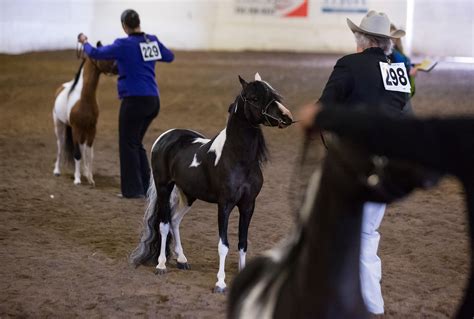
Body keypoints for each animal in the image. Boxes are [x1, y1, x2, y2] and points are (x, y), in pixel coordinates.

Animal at [52, 43, 116, 188]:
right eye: (105, 54)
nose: (118, 68)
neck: (83, 98)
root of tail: (61, 87)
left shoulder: (92, 129)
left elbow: (89, 154)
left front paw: (90, 178)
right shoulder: (76, 128)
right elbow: (76, 154)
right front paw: (77, 179)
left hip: (81, 131)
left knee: (81, 148)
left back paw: (83, 171)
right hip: (60, 125)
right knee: (60, 145)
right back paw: (57, 170)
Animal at [130, 74, 292, 294]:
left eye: (274, 94)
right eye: (254, 98)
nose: (287, 117)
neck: (237, 158)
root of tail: (165, 137)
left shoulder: (248, 205)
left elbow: (243, 242)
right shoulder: (224, 205)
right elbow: (223, 245)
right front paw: (220, 283)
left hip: (188, 195)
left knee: (175, 220)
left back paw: (182, 260)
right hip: (164, 188)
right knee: (164, 224)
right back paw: (161, 265)